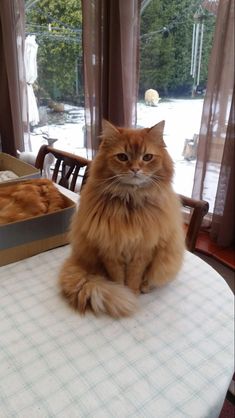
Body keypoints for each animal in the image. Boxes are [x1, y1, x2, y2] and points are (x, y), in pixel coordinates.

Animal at [58, 120, 184, 316]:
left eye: (147, 157)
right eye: (122, 157)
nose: (135, 169)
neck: (129, 201)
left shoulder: (142, 251)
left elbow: (134, 277)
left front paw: (133, 292)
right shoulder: (110, 250)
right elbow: (118, 278)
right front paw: (123, 292)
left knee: (152, 278)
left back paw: (145, 287)